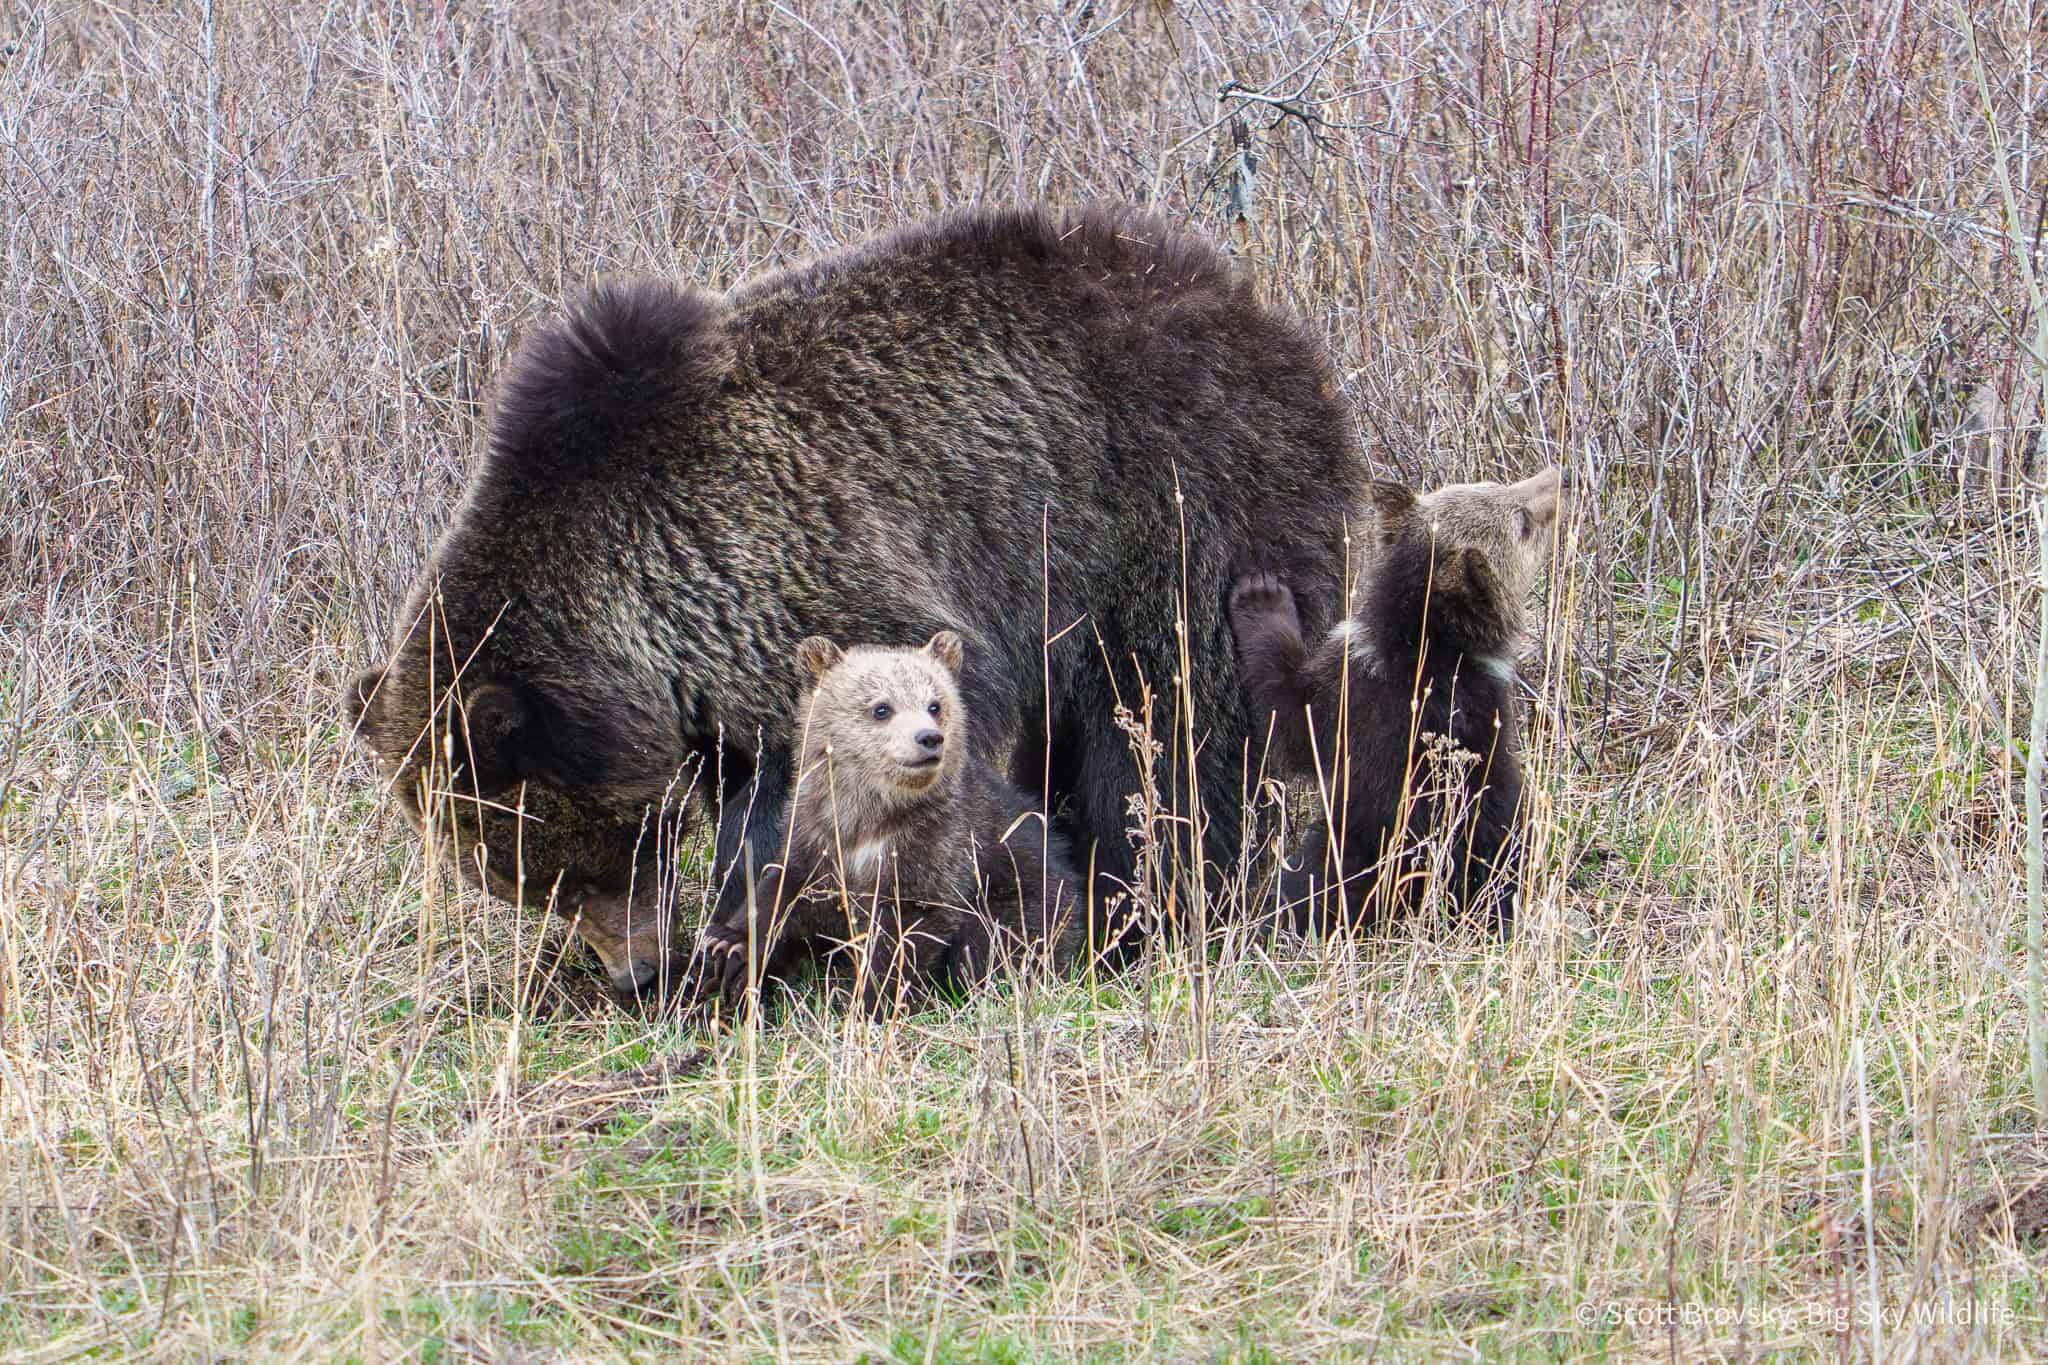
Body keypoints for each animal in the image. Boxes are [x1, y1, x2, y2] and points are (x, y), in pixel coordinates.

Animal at [699, 631, 1083, 1011]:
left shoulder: (938, 850)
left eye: (934, 704)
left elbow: (906, 936)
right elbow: (780, 889)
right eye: (881, 708)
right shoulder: (814, 832)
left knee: (997, 942)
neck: (873, 814)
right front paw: (729, 945)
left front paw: (871, 1000)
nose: (928, 738)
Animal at [1228, 467, 1564, 938]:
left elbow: (1292, 715)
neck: (1424, 647)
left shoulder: (1359, 701)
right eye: (1522, 519)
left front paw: (1261, 593)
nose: (1560, 476)